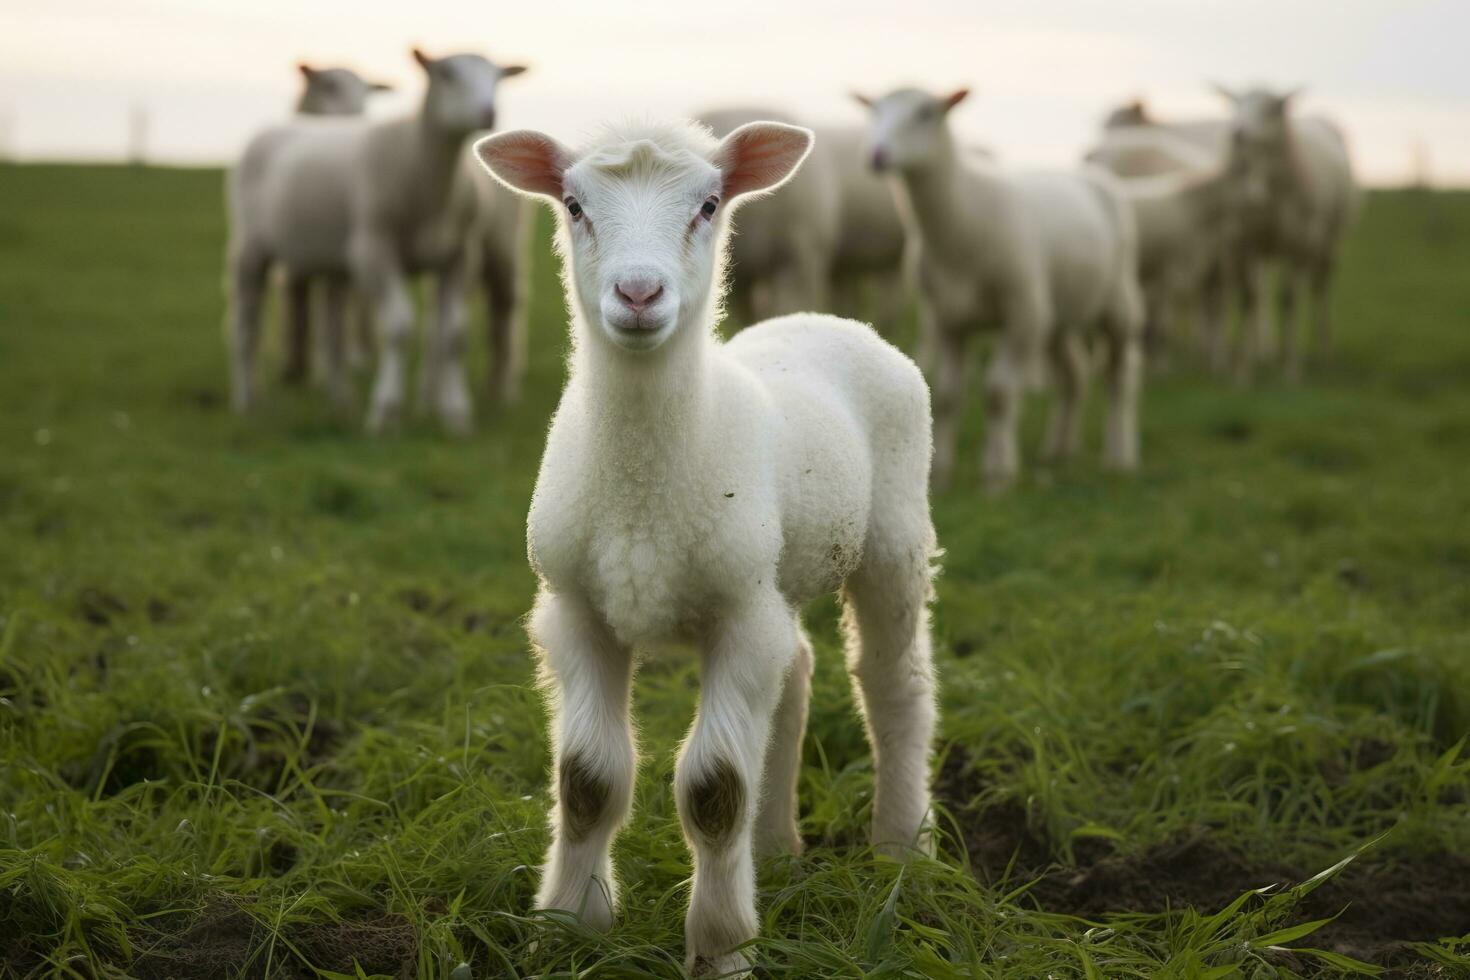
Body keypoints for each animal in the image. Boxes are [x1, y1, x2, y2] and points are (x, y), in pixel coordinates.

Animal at [223, 47, 529, 429]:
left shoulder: (459, 257)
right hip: (250, 251)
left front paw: (455, 414)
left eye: (498, 77)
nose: (488, 112)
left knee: (334, 334)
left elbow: (453, 336)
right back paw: (248, 401)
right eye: (446, 74)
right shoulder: (374, 252)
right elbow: (399, 329)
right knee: (246, 325)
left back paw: (343, 404)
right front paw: (386, 412)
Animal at [476, 119, 934, 975]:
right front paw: (568, 929)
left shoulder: (735, 615)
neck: (643, 491)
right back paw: (778, 849)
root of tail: (825, 318)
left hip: (893, 537)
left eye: (710, 204)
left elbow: (713, 791)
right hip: (776, 581)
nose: (638, 294)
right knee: (796, 673)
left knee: (894, 687)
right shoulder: (575, 610)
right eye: (574, 205)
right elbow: (586, 781)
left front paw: (721, 950)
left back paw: (901, 852)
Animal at [858, 87, 1146, 490]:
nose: (878, 155)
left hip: (1117, 303)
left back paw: (1120, 457)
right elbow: (947, 396)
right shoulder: (950, 320)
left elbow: (998, 394)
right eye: (875, 111)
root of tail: (1089, 174)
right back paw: (1059, 448)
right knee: (1074, 375)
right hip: (1057, 318)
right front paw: (941, 473)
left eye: (926, 113)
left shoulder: (1021, 314)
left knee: (1120, 377)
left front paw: (998, 474)